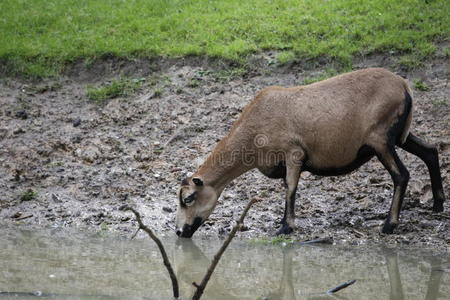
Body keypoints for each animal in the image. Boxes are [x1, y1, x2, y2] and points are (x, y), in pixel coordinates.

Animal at [174, 67, 444, 237]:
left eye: (188, 199)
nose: (179, 232)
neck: (252, 134)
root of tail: (404, 86)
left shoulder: (294, 153)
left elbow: (290, 188)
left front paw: (286, 227)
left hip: (381, 138)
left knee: (402, 175)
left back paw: (389, 224)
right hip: (399, 136)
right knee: (431, 151)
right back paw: (438, 205)